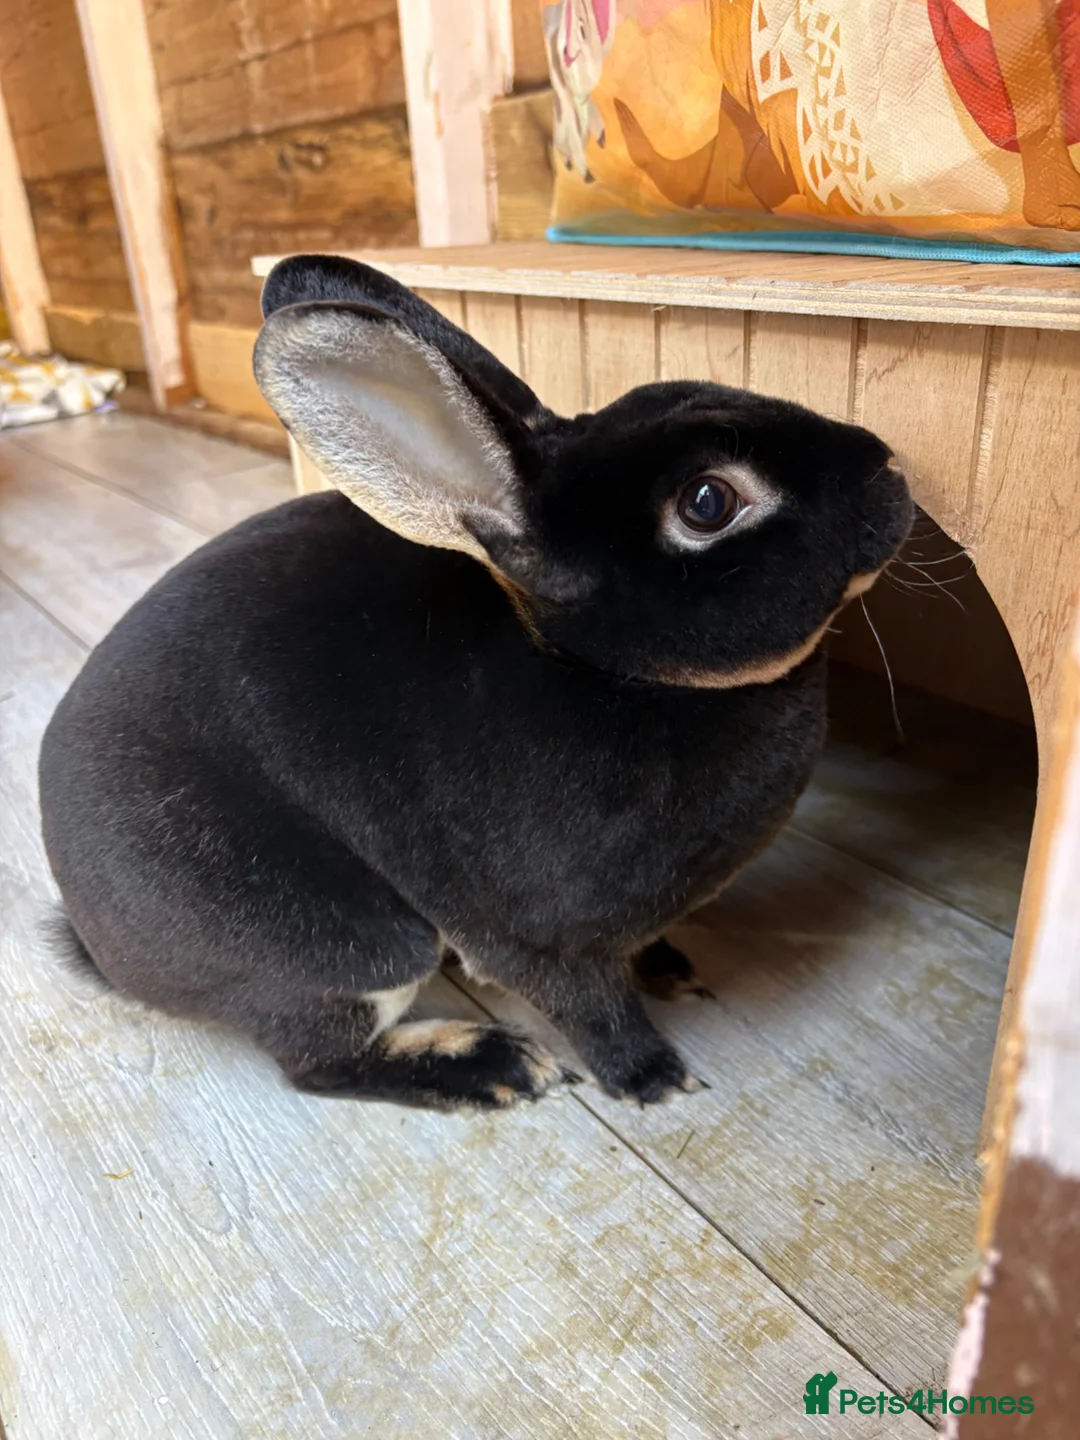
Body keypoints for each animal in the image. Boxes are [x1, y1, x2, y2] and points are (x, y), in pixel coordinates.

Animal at [38, 254, 912, 1112]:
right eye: (708, 502)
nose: (889, 466)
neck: (601, 671)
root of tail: (100, 945)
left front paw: (668, 964)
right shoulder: (539, 941)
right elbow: (592, 1008)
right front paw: (653, 1078)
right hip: (347, 947)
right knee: (317, 1063)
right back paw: (495, 1065)